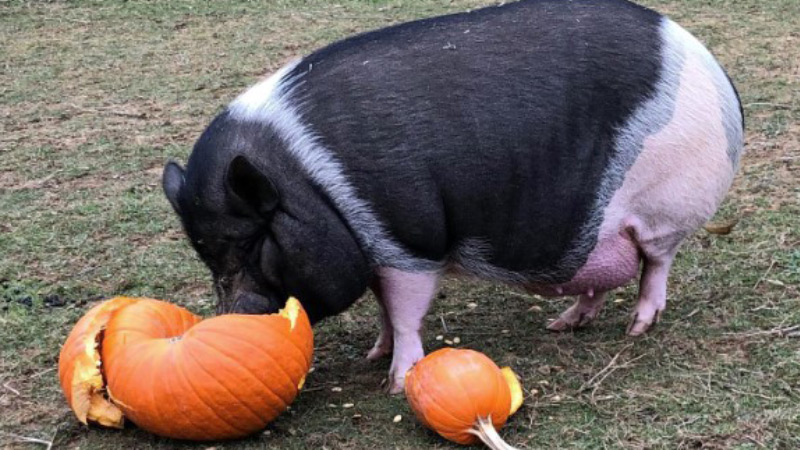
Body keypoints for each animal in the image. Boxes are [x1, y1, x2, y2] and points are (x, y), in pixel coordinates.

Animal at [161, 0, 744, 394]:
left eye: (250, 242)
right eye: (206, 254)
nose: (230, 318)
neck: (306, 183)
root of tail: (709, 63)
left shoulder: (409, 242)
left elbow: (404, 310)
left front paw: (395, 382)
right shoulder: (377, 250)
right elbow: (382, 306)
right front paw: (373, 356)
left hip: (666, 208)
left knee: (656, 263)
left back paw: (637, 327)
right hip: (597, 231)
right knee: (599, 278)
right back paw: (563, 324)